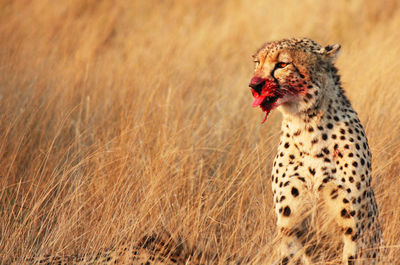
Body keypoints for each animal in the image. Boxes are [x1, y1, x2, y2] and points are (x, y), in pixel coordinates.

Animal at [248, 38, 382, 262]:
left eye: (282, 64)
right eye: (258, 63)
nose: (254, 85)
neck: (307, 127)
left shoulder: (354, 226)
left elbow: (352, 255)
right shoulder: (289, 225)